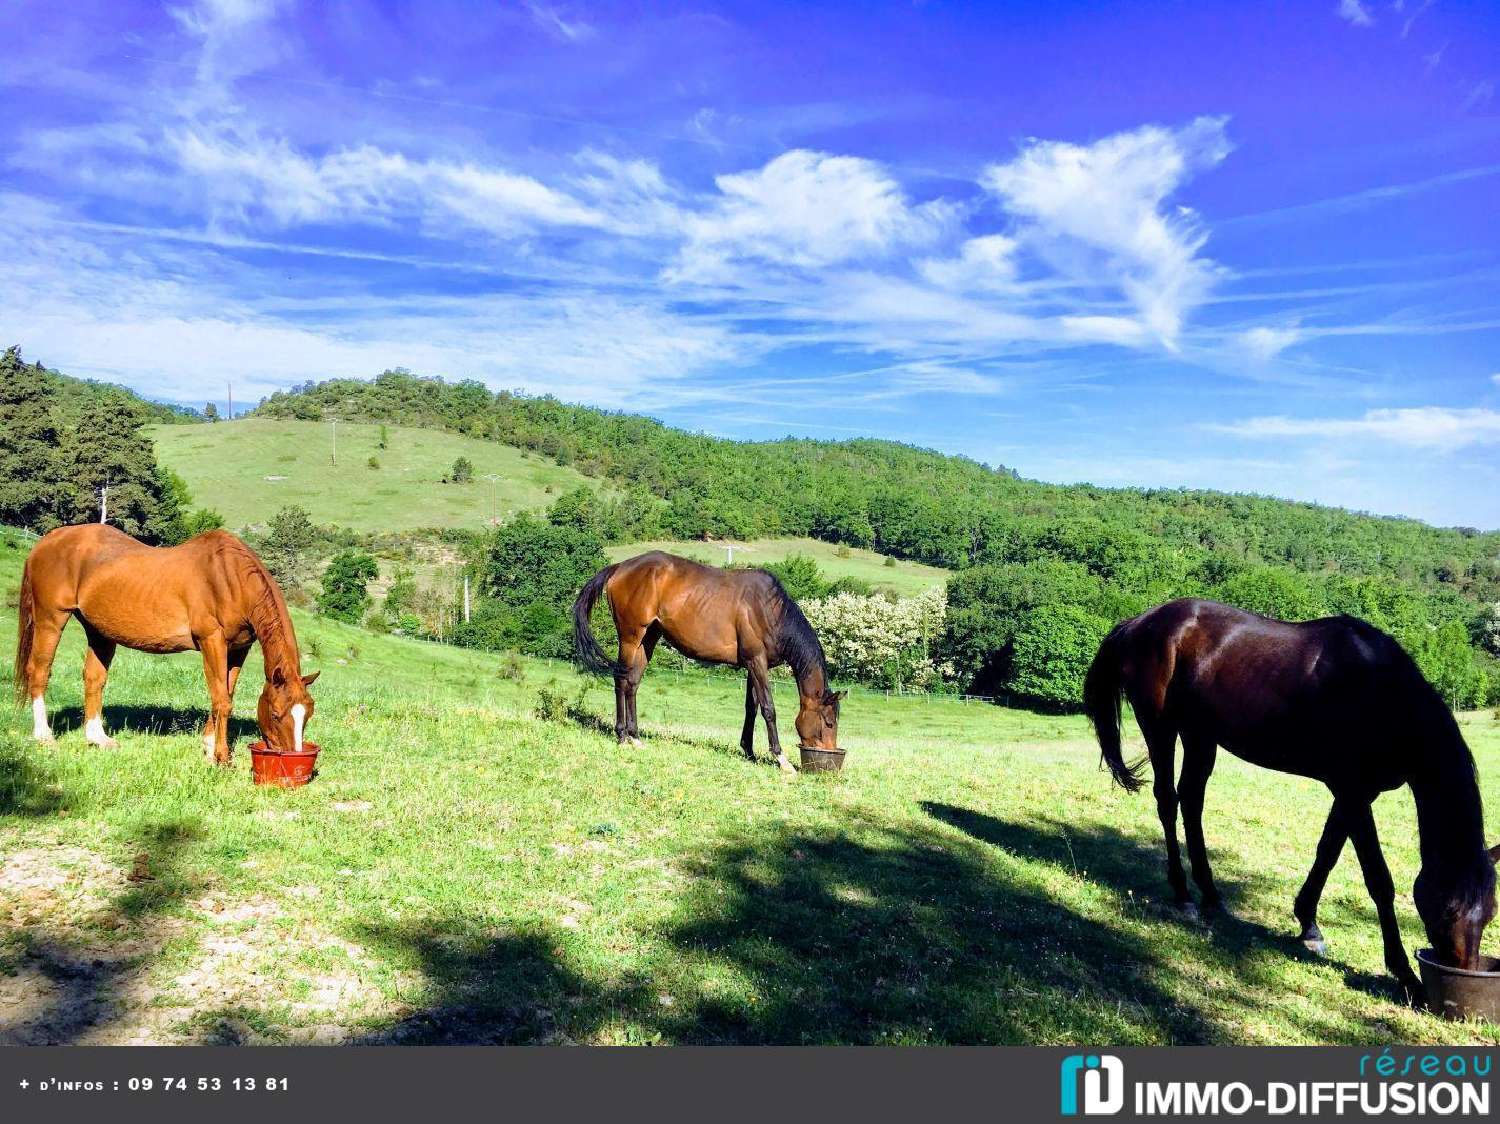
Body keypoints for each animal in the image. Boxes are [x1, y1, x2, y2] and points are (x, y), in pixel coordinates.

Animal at [13, 525, 319, 762]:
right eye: (276, 714)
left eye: (308, 714)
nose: (294, 755)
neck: (229, 576)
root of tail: (47, 541)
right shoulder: (211, 641)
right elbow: (221, 699)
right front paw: (220, 757)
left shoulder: (238, 649)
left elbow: (225, 694)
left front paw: (209, 746)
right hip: (51, 619)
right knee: (39, 672)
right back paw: (44, 736)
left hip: (98, 631)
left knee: (94, 679)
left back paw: (98, 738)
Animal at [570, 552, 846, 774]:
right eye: (829, 723)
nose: (829, 755)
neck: (769, 611)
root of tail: (620, 567)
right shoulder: (756, 662)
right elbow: (768, 708)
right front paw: (781, 759)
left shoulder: (753, 666)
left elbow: (751, 708)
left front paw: (749, 752)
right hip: (630, 637)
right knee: (620, 680)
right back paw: (621, 736)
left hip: (648, 639)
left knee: (632, 684)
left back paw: (635, 736)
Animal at [1086, 597, 1494, 1002]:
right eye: (1448, 911)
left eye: (1490, 913)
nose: (1461, 970)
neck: (1381, 694)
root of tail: (1140, 621)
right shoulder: (1352, 791)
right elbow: (1378, 879)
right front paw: (1404, 973)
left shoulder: (1353, 793)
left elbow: (1327, 852)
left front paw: (1309, 925)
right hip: (1161, 729)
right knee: (1168, 803)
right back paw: (1184, 895)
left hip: (1200, 736)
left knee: (1191, 801)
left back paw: (1212, 895)